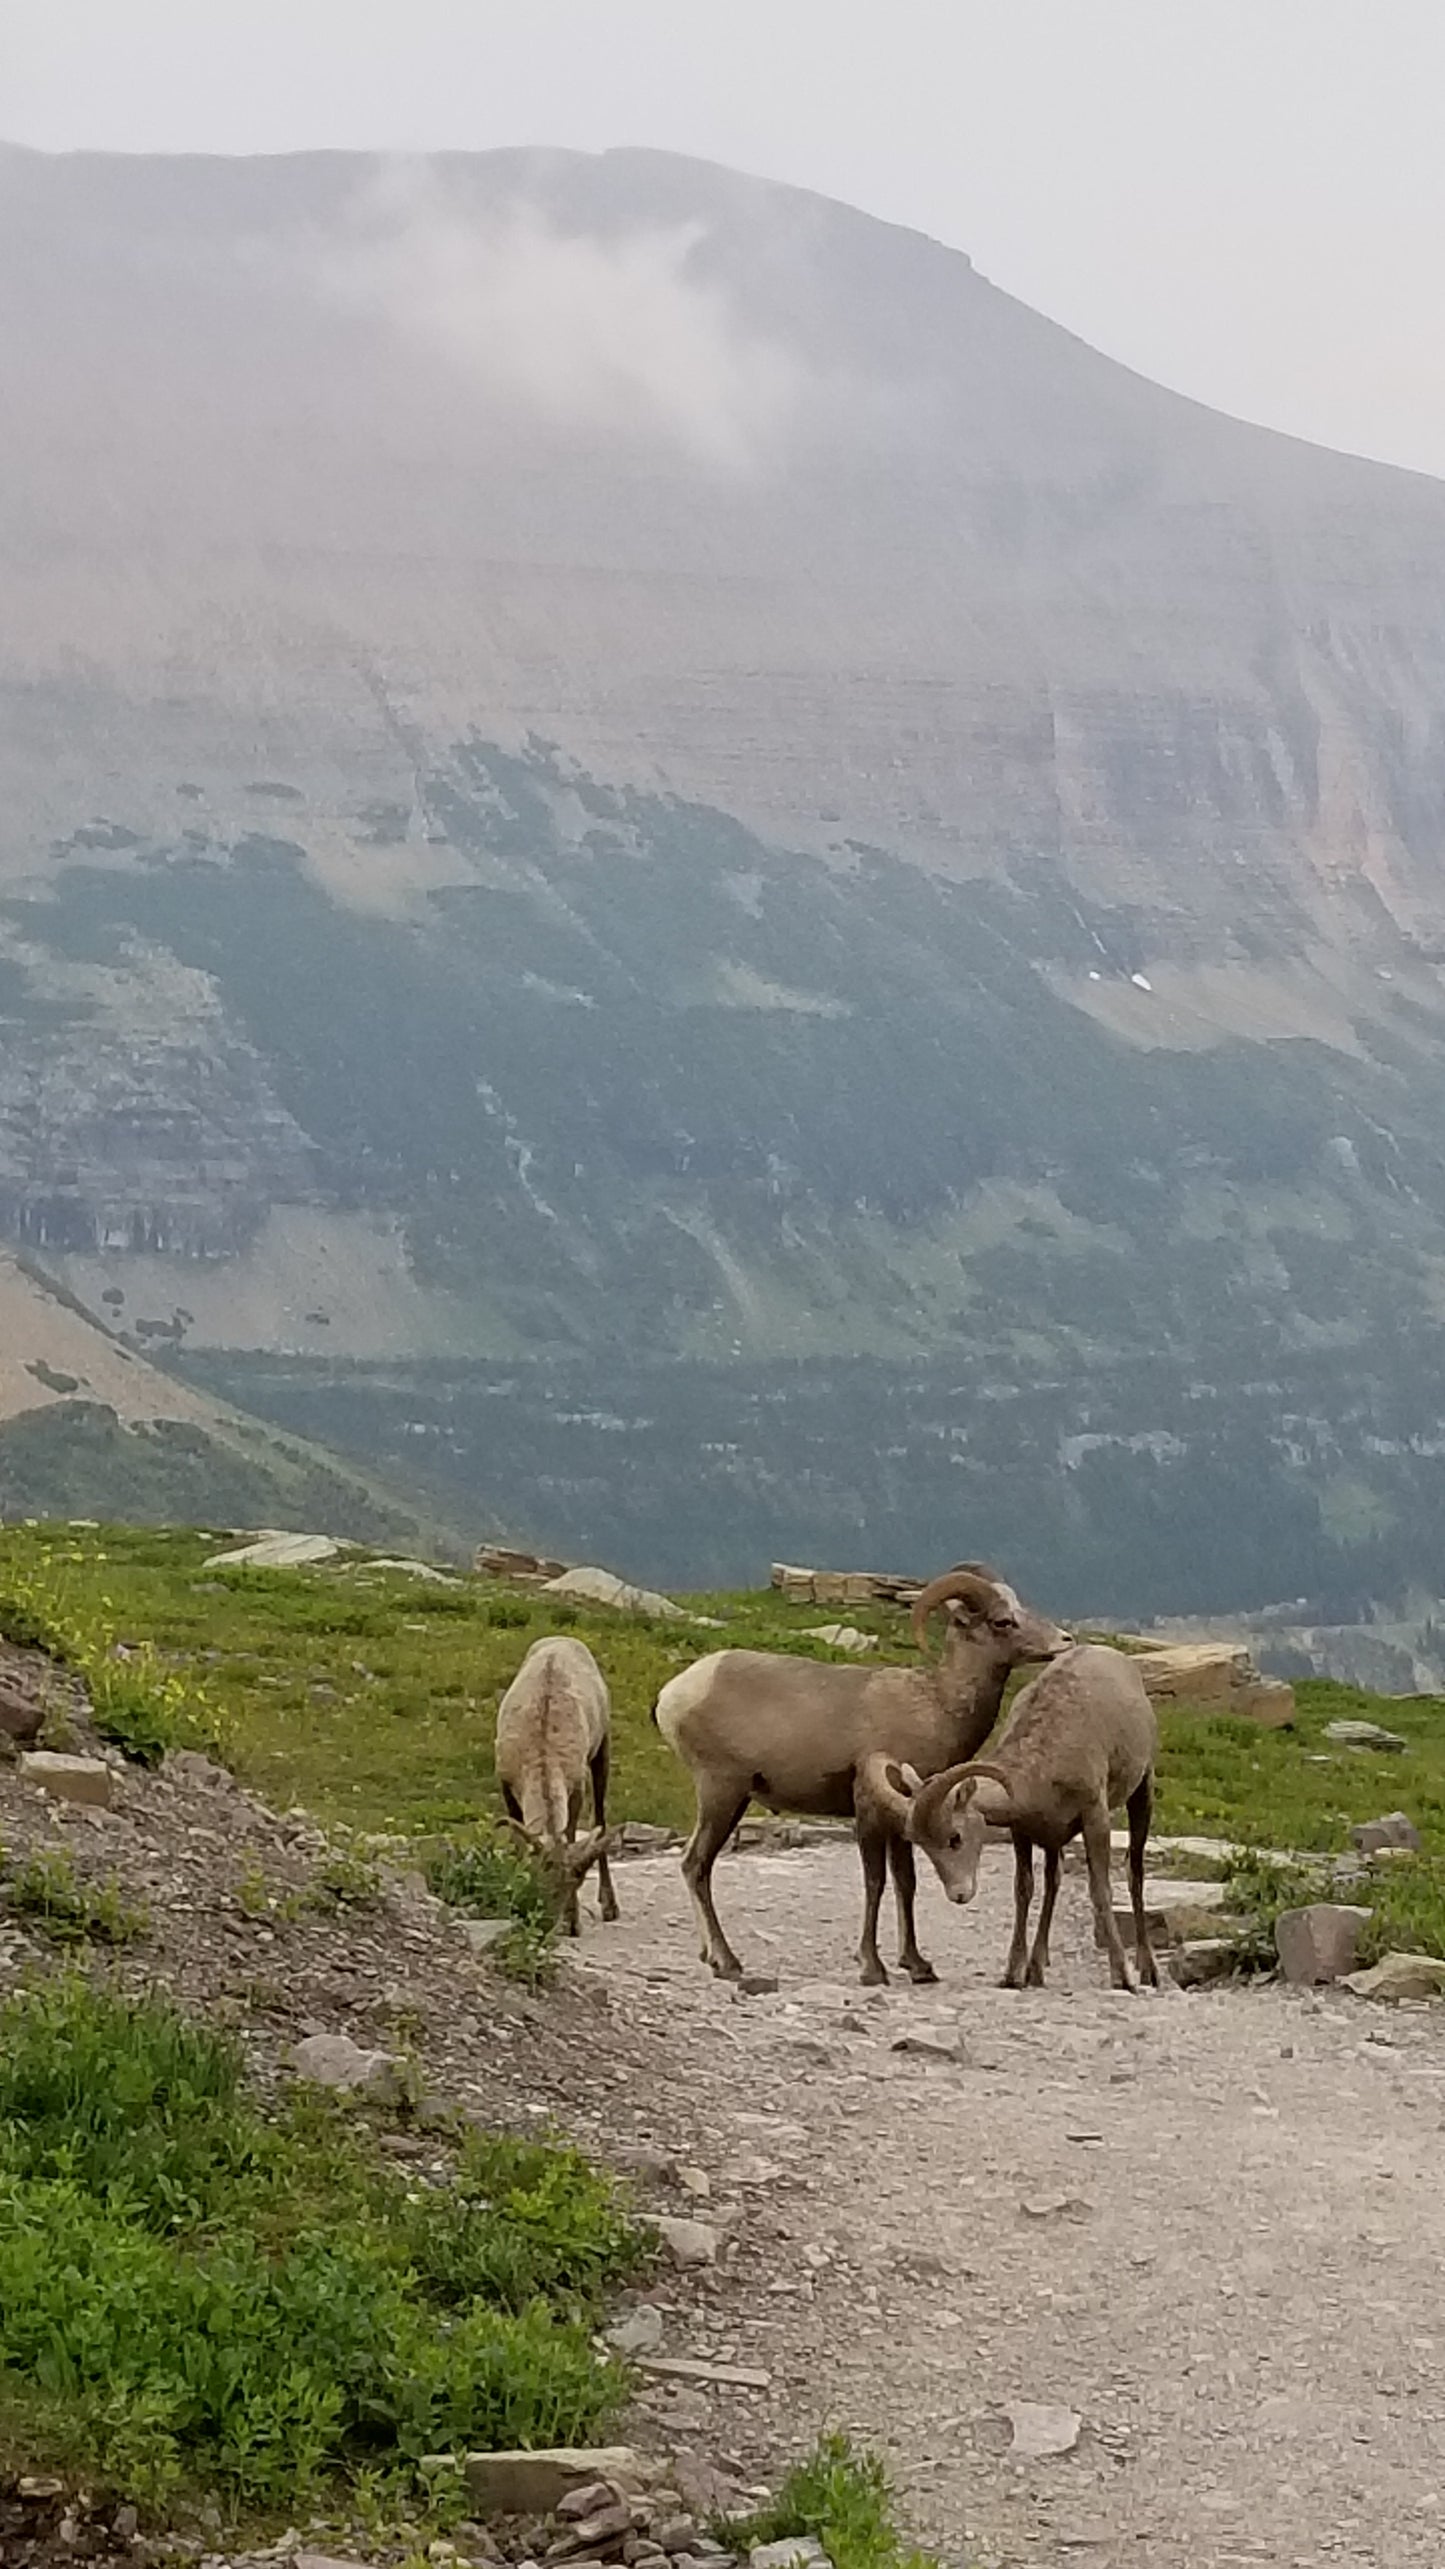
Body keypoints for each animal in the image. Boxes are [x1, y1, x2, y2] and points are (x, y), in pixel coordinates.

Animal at [491, 1644, 617, 1931]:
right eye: (540, 1879)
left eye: (576, 1881)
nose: (552, 1921)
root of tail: (563, 1640)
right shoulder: (506, 1781)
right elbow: (518, 1843)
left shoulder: (576, 1782)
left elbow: (569, 1832)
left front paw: (573, 1919)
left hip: (602, 1744)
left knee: (600, 1817)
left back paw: (609, 1906)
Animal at [653, 1561, 1069, 1983]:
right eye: (1002, 1621)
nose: (1064, 1640)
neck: (936, 1704)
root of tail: (674, 1694)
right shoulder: (869, 1810)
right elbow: (876, 1882)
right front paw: (873, 1968)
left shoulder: (908, 1815)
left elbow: (906, 1882)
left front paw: (917, 1965)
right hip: (721, 1793)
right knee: (696, 1865)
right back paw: (727, 1963)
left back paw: (711, 1956)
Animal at [858, 1644, 1151, 1983]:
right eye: (924, 1846)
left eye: (955, 1837)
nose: (959, 1894)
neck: (1045, 1761)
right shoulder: (1022, 1829)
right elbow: (1024, 1888)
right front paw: (1014, 1974)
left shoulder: (1095, 1817)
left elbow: (1100, 1890)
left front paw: (1123, 1977)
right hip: (1053, 1839)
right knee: (1053, 1880)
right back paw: (1036, 1968)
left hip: (1143, 1789)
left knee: (1135, 1873)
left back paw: (1148, 1971)